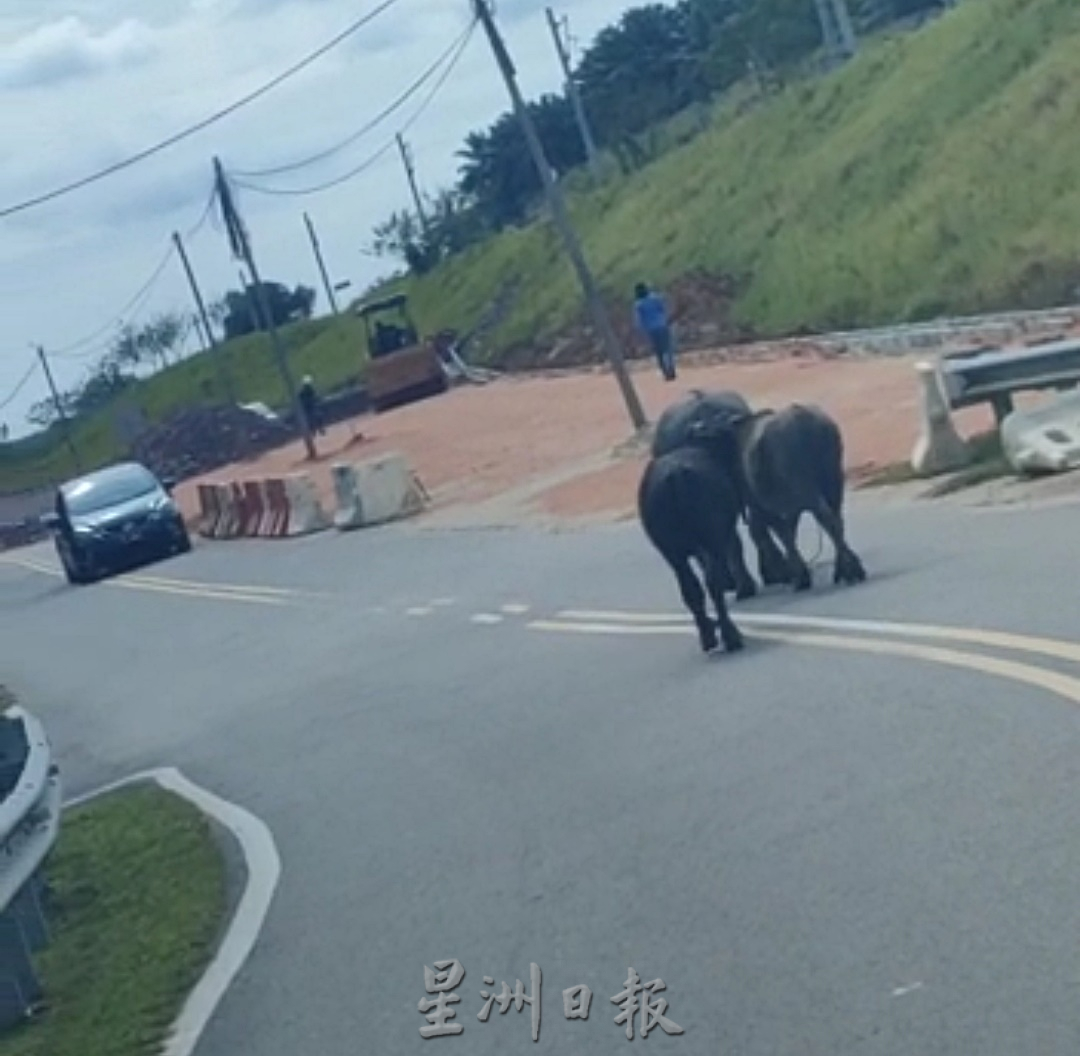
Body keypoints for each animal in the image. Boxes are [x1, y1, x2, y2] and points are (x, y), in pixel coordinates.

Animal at [630, 412, 751, 652]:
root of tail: (675, 474)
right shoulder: (722, 535)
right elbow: (736, 549)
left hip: (671, 552)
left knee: (690, 589)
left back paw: (707, 635)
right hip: (710, 540)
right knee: (712, 583)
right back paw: (730, 635)